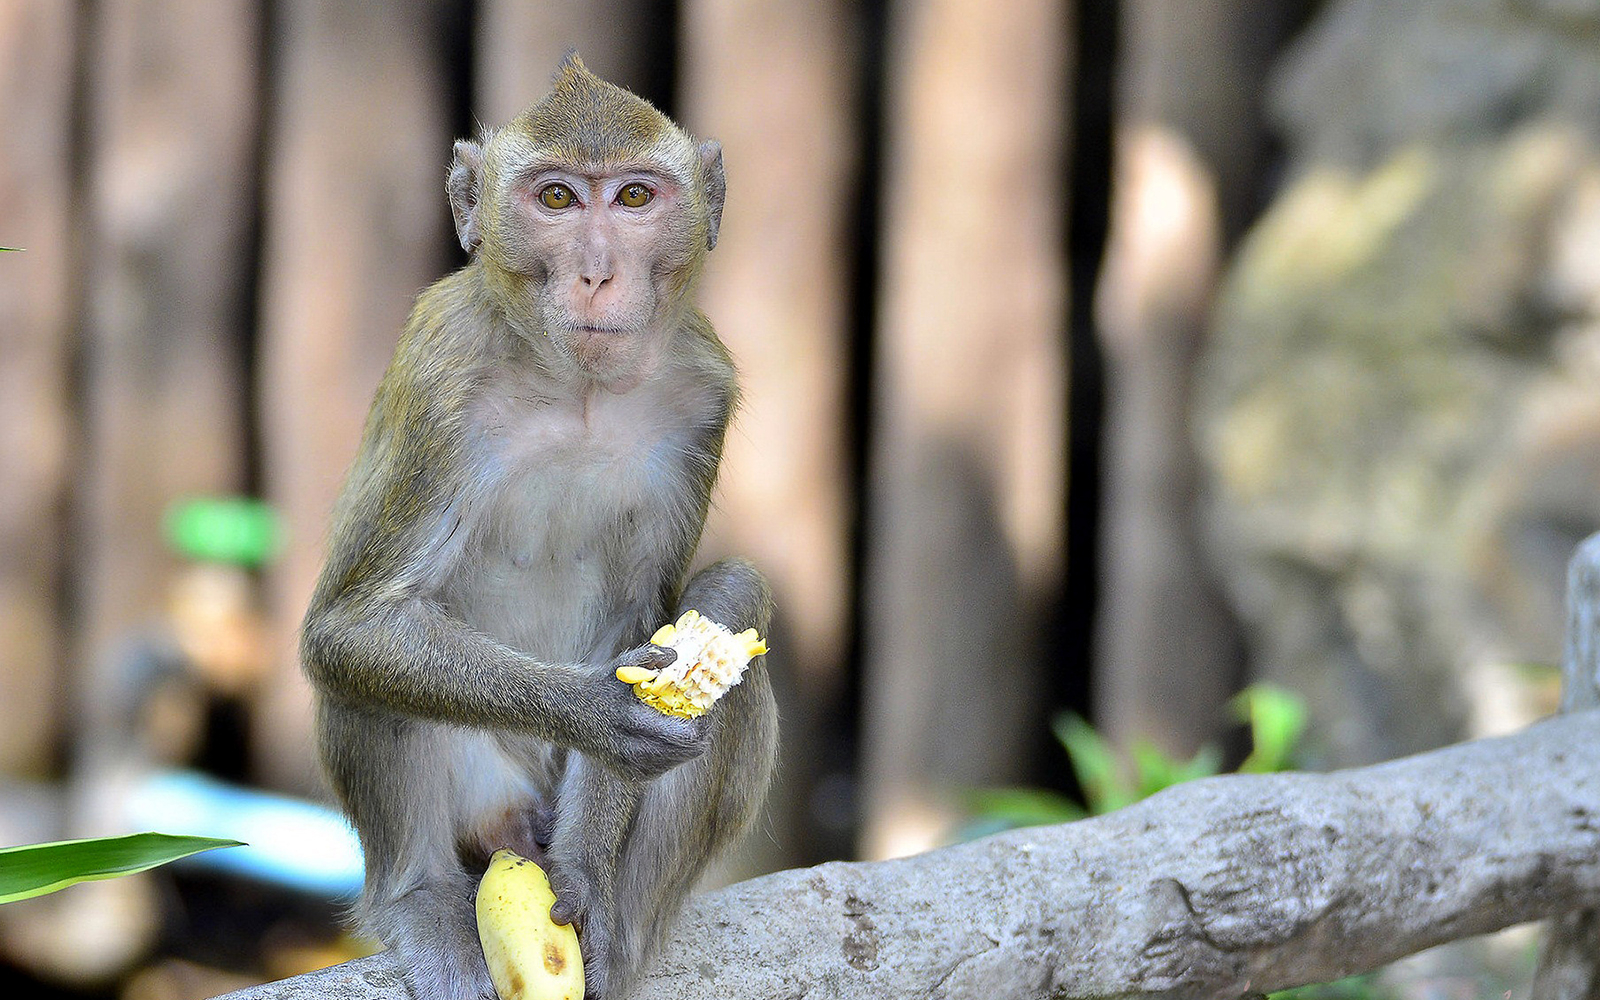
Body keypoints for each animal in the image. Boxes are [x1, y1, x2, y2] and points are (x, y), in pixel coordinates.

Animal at [298, 53, 778, 1000]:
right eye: (556, 199)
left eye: (634, 198)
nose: (596, 273)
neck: (575, 387)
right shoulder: (440, 375)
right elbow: (354, 625)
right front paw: (599, 713)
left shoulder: (703, 390)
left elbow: (652, 617)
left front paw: (589, 873)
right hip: (483, 791)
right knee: (361, 666)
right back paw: (420, 899)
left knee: (735, 600)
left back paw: (623, 929)